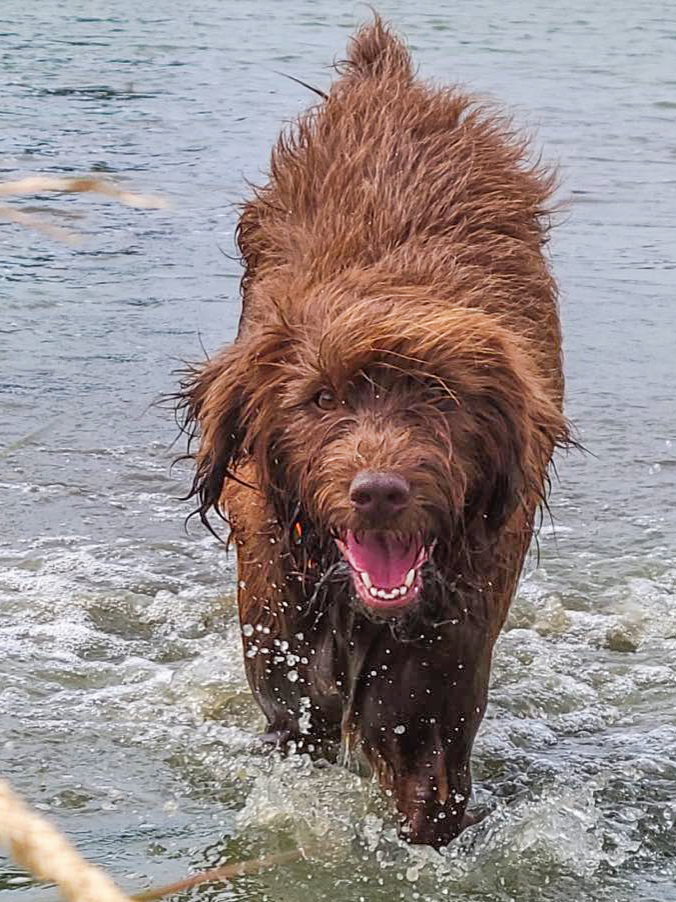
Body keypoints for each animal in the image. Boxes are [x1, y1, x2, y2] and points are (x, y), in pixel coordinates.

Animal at [177, 15, 568, 848]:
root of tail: (386, 85)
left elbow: (430, 789)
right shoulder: (287, 674)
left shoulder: (439, 683)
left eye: (441, 398)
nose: (379, 492)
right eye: (320, 398)